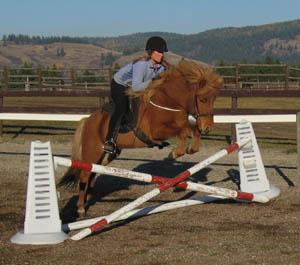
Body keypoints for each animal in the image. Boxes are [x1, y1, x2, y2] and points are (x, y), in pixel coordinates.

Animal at [58, 59, 223, 214]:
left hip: (108, 155)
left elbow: (192, 131)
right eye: (202, 99)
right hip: (91, 153)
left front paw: (187, 150)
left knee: (93, 173)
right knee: (85, 175)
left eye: (214, 99)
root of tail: (87, 120)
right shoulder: (156, 131)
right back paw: (80, 208)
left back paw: (88, 199)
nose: (208, 128)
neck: (168, 102)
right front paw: (175, 153)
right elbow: (181, 132)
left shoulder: (182, 123)